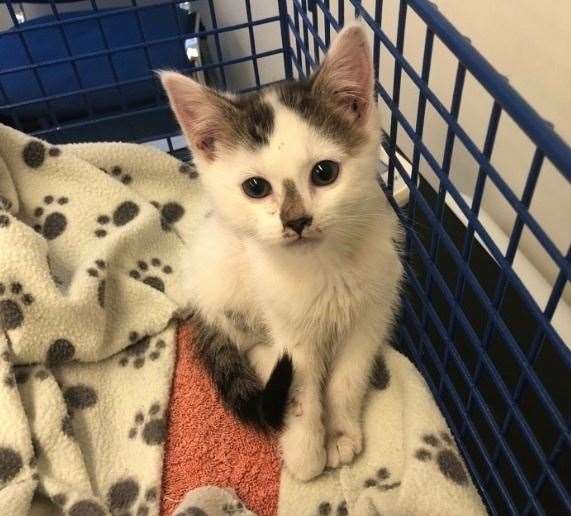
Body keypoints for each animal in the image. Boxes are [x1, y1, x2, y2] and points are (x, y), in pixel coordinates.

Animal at [160, 23, 402, 484]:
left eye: (325, 172)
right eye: (255, 187)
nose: (296, 221)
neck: (324, 267)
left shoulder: (372, 311)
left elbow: (346, 378)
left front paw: (340, 433)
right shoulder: (290, 325)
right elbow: (301, 387)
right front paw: (306, 452)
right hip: (225, 277)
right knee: (246, 339)